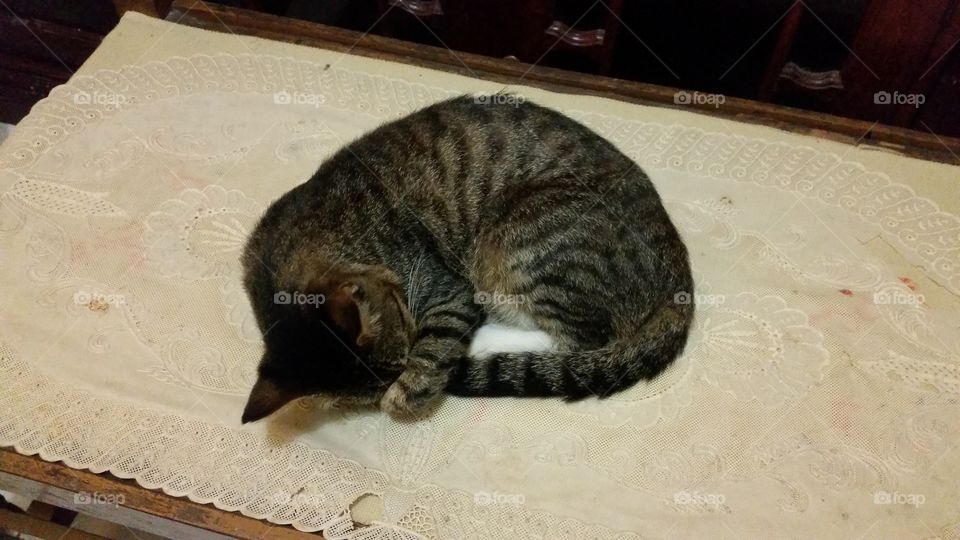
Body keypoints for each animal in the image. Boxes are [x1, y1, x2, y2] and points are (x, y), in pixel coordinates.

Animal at [239, 95, 688, 424]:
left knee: (577, 340)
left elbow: (425, 361)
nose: (401, 367)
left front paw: (406, 392)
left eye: (403, 353)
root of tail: (677, 267)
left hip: (526, 237)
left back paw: (485, 339)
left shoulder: (445, 287)